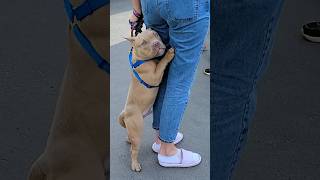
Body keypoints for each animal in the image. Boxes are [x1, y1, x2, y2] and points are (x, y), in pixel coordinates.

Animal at [117, 29, 174, 172]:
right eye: (143, 43)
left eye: (155, 34)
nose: (156, 43)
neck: (142, 59)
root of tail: (125, 113)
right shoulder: (154, 76)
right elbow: (161, 64)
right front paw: (168, 55)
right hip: (137, 129)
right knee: (134, 150)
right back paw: (135, 165)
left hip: (133, 128)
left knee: (130, 137)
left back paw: (128, 139)